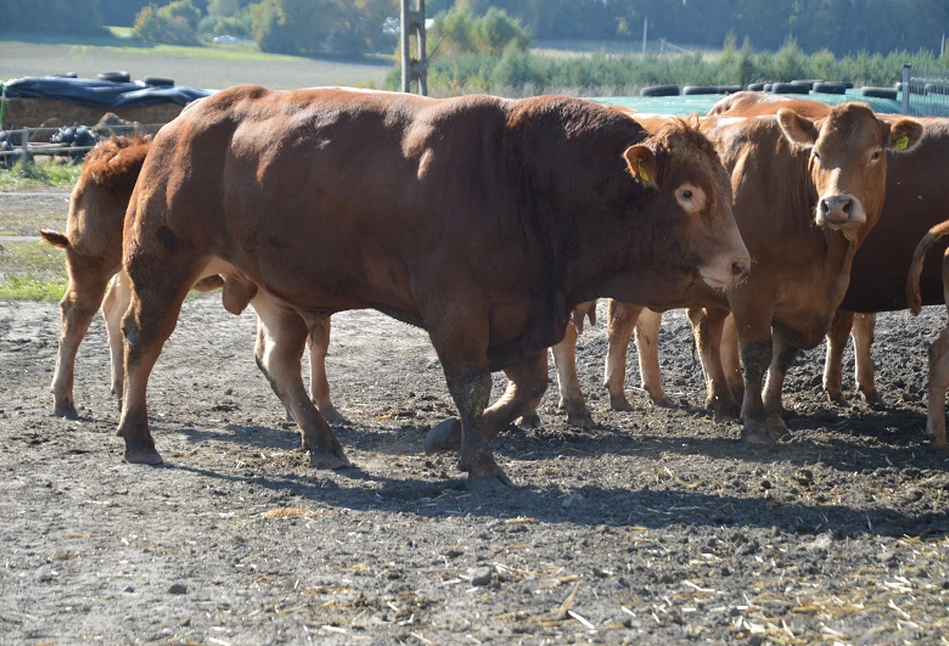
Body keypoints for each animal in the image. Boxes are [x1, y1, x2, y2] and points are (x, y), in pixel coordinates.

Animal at [118, 87, 752, 492]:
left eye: (725, 186)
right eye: (688, 193)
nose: (742, 263)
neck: (521, 175)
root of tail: (182, 121)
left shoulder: (522, 310)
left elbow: (528, 388)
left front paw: (449, 437)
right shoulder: (459, 307)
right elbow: (472, 384)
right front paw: (481, 461)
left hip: (272, 286)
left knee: (279, 360)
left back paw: (322, 441)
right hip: (160, 265)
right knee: (142, 342)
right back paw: (138, 436)